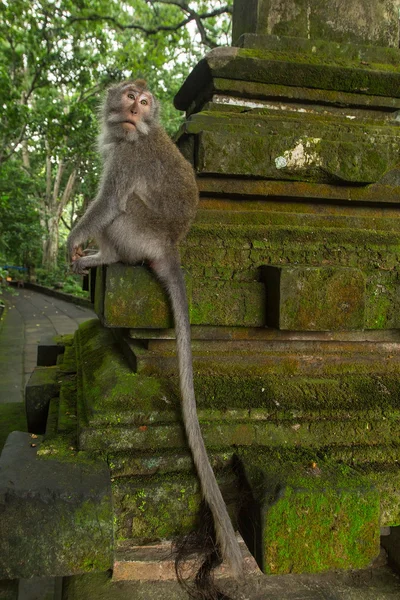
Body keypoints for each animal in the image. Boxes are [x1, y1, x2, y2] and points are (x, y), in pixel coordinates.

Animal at [67, 82, 242, 584]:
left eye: (143, 104)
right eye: (129, 96)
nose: (132, 108)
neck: (132, 136)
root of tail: (170, 246)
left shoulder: (128, 160)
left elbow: (107, 204)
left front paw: (73, 241)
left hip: (141, 232)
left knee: (122, 213)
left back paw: (103, 256)